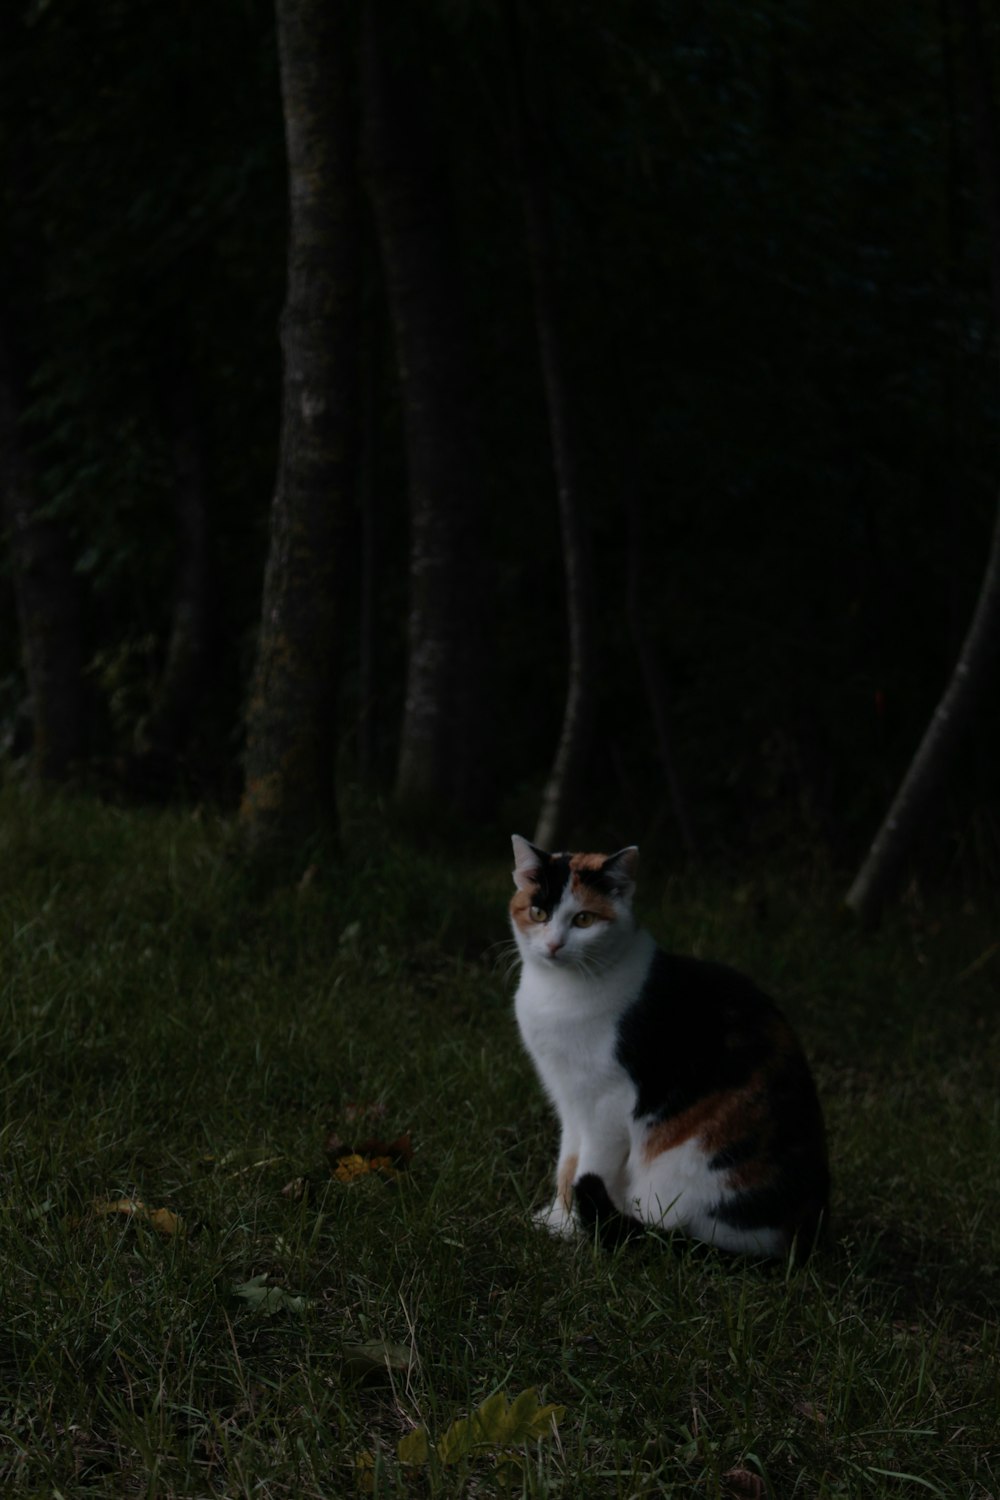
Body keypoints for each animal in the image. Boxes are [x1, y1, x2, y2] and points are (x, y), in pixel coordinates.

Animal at [509, 840, 827, 1260]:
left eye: (584, 920)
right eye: (538, 913)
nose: (553, 945)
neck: (558, 993)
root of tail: (801, 1239)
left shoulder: (607, 1107)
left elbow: (586, 1166)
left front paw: (573, 1233)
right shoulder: (570, 1101)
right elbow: (567, 1163)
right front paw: (557, 1221)